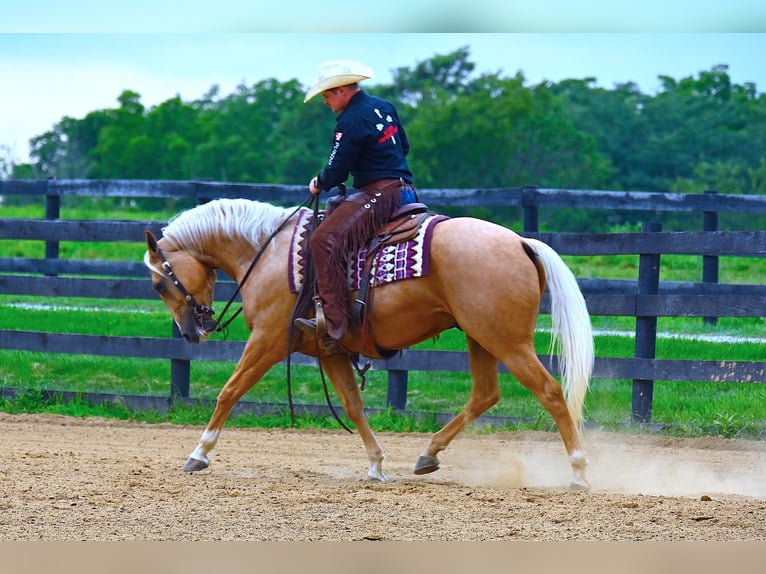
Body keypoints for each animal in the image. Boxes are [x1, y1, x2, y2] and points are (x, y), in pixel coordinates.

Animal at [146, 197, 600, 490]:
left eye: (159, 284)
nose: (191, 332)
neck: (269, 252)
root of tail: (521, 241)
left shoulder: (268, 342)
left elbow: (229, 391)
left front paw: (199, 454)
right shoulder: (328, 350)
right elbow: (352, 404)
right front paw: (377, 465)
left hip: (507, 342)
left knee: (550, 392)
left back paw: (579, 472)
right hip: (481, 337)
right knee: (485, 394)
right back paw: (428, 454)